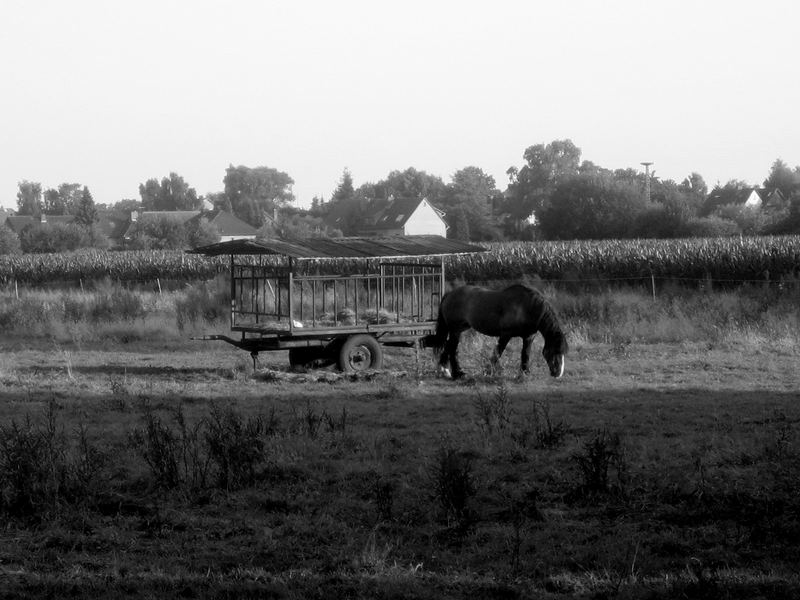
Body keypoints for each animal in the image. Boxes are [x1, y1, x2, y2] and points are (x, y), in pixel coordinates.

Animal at [432, 284, 568, 378]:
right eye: (554, 350)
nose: (558, 373)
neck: (526, 307)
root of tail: (449, 294)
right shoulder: (505, 335)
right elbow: (498, 353)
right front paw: (487, 372)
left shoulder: (529, 336)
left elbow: (525, 354)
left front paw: (525, 373)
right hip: (455, 330)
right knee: (452, 349)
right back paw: (457, 373)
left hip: (459, 330)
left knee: (449, 347)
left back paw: (446, 371)